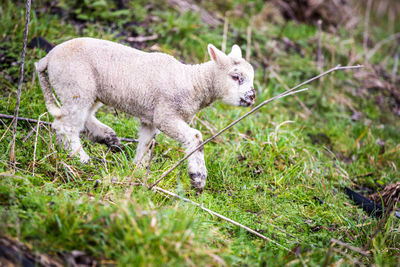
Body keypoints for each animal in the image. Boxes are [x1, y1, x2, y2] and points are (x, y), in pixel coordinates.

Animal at [33, 37, 253, 191]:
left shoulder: (151, 119)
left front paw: (137, 171)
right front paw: (198, 179)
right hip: (76, 85)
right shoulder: (166, 116)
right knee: (65, 126)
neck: (193, 83)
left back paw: (108, 137)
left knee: (82, 118)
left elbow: (146, 145)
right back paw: (82, 159)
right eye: (235, 77)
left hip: (89, 91)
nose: (252, 97)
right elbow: (196, 137)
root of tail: (48, 58)